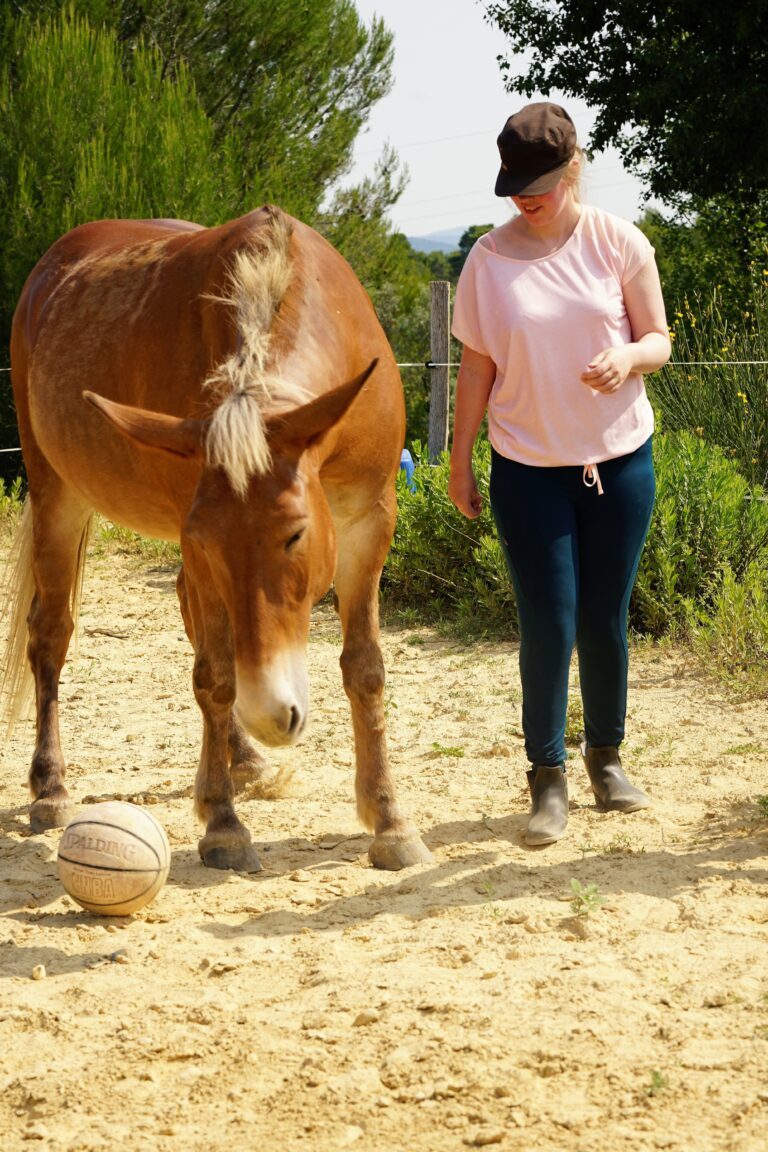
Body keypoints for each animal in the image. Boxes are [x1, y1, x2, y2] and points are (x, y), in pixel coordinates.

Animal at [2, 204, 431, 873]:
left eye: (296, 533)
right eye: (207, 541)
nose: (272, 716)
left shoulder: (369, 522)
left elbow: (364, 667)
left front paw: (389, 820)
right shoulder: (192, 536)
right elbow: (216, 675)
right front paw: (224, 824)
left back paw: (244, 758)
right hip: (56, 494)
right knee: (51, 634)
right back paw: (51, 787)